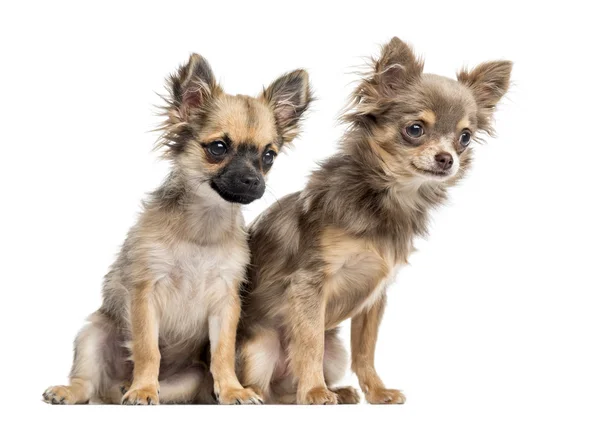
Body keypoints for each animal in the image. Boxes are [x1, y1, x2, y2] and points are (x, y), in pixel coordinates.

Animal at [41, 52, 312, 404]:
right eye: (218, 148)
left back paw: (128, 388)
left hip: (188, 380)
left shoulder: (226, 302)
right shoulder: (145, 292)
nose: (254, 180)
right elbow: (147, 348)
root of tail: (109, 388)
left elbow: (223, 353)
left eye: (268, 156)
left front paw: (232, 390)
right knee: (86, 382)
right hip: (95, 332)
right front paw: (143, 388)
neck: (204, 223)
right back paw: (79, 390)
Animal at [234, 38, 510, 404]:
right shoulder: (309, 284)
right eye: (415, 129)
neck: (389, 199)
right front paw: (315, 391)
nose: (447, 159)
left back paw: (338, 391)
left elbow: (365, 350)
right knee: (268, 389)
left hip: (335, 351)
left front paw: (377, 392)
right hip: (262, 344)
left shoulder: (375, 297)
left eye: (464, 137)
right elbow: (309, 343)